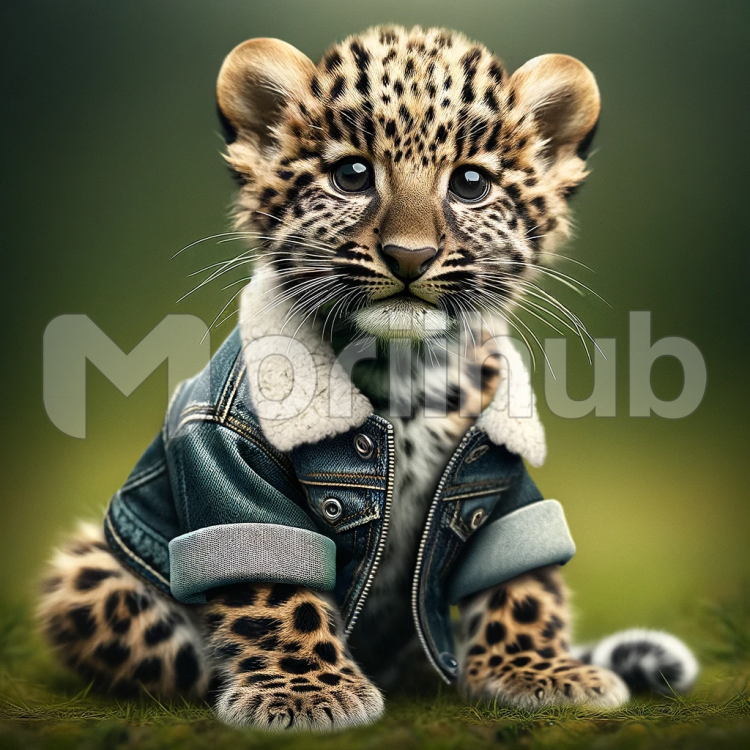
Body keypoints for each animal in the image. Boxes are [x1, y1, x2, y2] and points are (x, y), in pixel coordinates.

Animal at [38, 25, 698, 731]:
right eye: (352, 175)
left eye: (470, 183)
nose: (410, 255)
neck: (405, 375)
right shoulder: (229, 468)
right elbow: (276, 583)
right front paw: (305, 692)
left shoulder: (498, 470)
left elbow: (518, 576)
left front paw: (539, 671)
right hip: (88, 576)